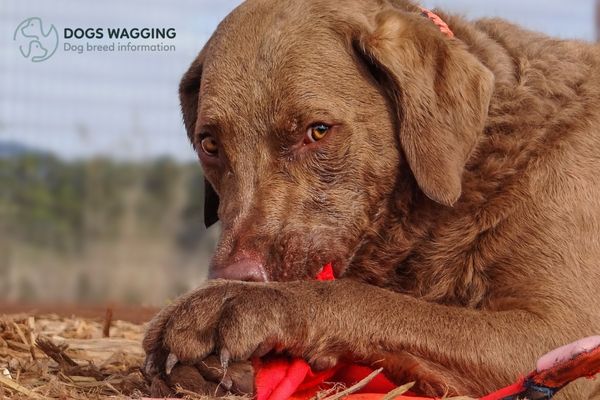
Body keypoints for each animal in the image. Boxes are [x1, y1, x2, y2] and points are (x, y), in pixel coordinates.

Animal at [143, 1, 600, 398]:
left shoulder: (559, 335)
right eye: (210, 144)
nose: (235, 275)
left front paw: (237, 303)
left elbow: (359, 297)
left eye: (318, 131)